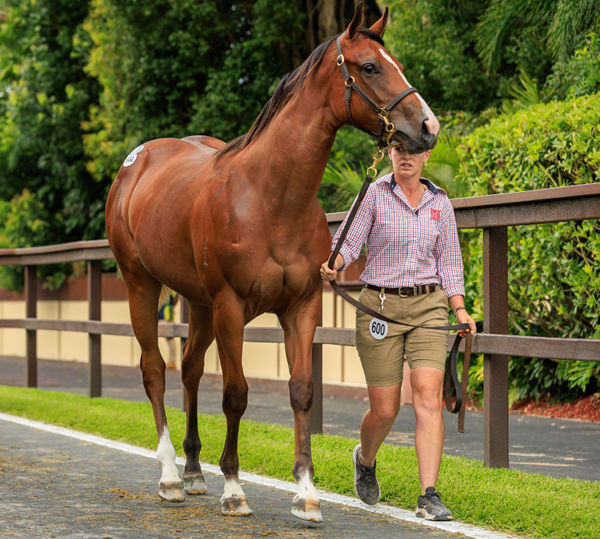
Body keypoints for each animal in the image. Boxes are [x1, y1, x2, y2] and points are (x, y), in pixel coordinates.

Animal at [105, 5, 438, 524]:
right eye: (369, 67)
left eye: (395, 63)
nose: (428, 126)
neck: (270, 197)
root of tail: (136, 162)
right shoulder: (230, 308)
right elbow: (236, 394)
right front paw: (234, 488)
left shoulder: (301, 307)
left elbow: (301, 391)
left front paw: (306, 493)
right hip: (141, 284)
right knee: (154, 369)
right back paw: (170, 476)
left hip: (199, 304)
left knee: (190, 369)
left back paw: (194, 471)